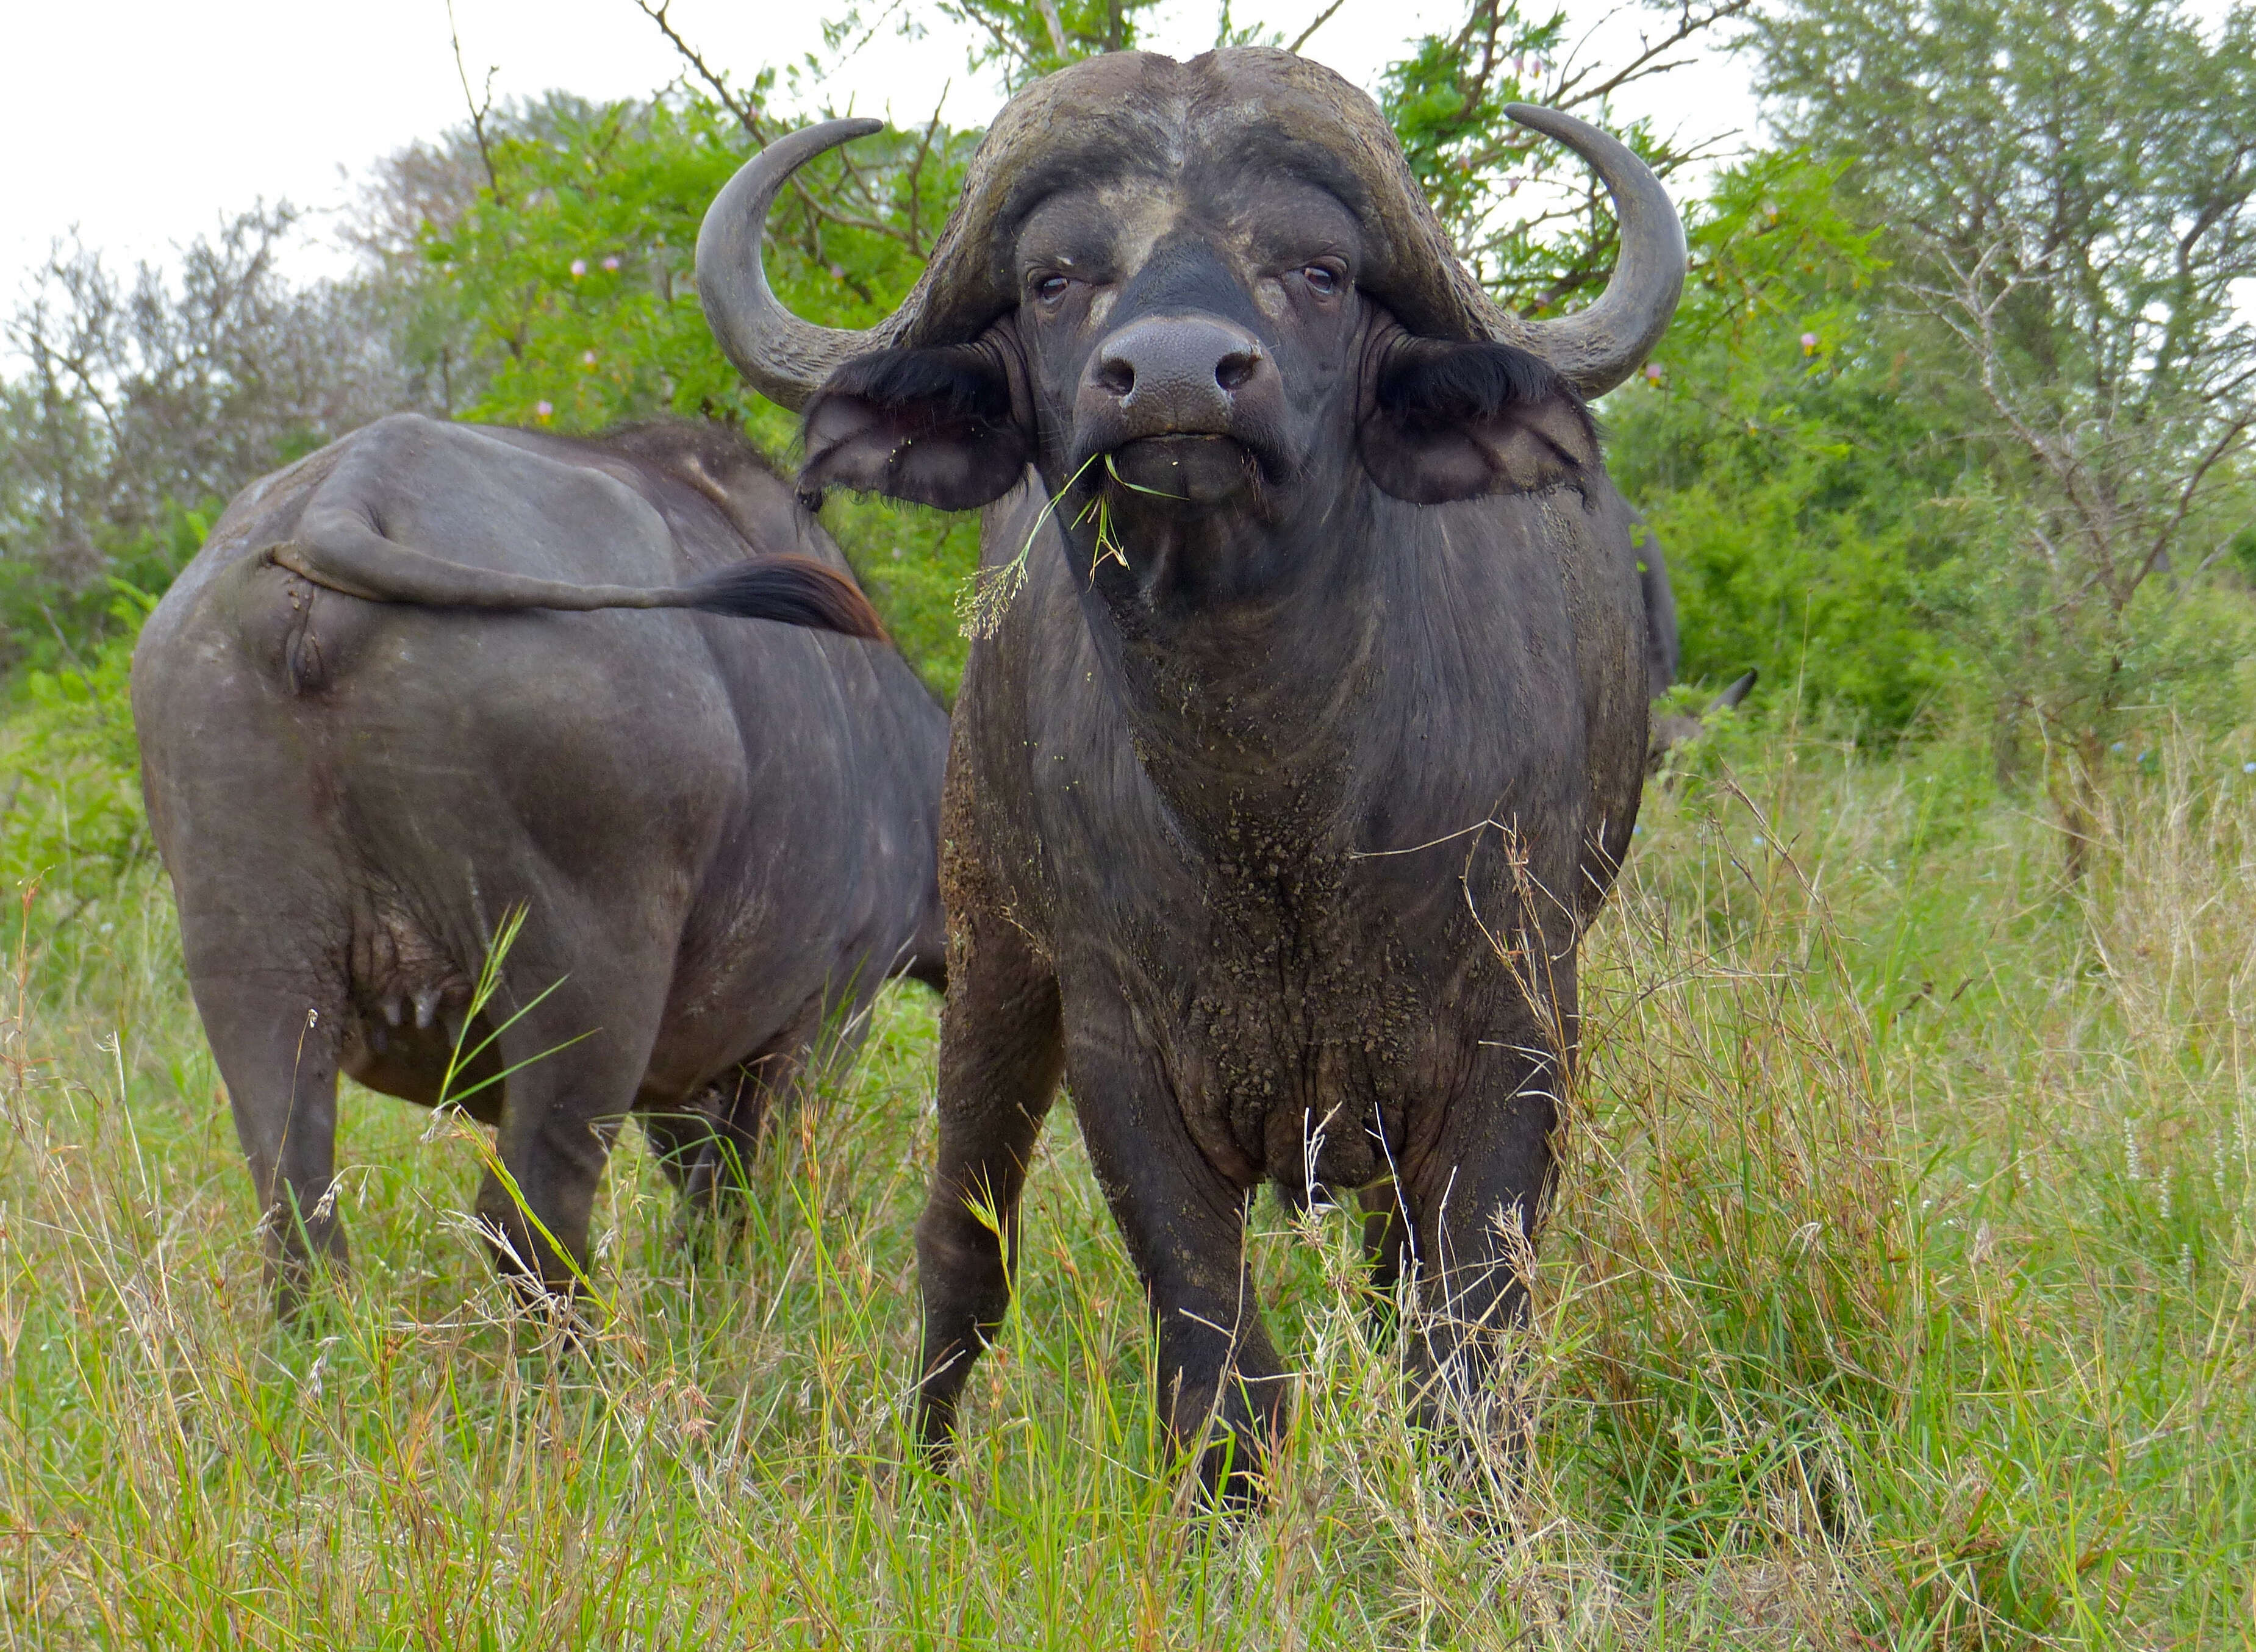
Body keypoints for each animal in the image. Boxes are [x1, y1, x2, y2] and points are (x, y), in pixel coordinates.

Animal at [134, 415, 943, 1318]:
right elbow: (743, 1192)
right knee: (526, 1215)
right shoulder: (827, 1011)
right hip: (588, 984)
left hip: (255, 968)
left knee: (297, 1217)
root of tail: (352, 492)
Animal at [695, 51, 1687, 1498]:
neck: (1275, 796)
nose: (1170, 379)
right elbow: (1219, 1371)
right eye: (1055, 276)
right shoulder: (1124, 1049)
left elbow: (1457, 1360)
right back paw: (921, 1479)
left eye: (1317, 268)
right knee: (960, 1245)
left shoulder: (1518, 1030)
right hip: (989, 951)